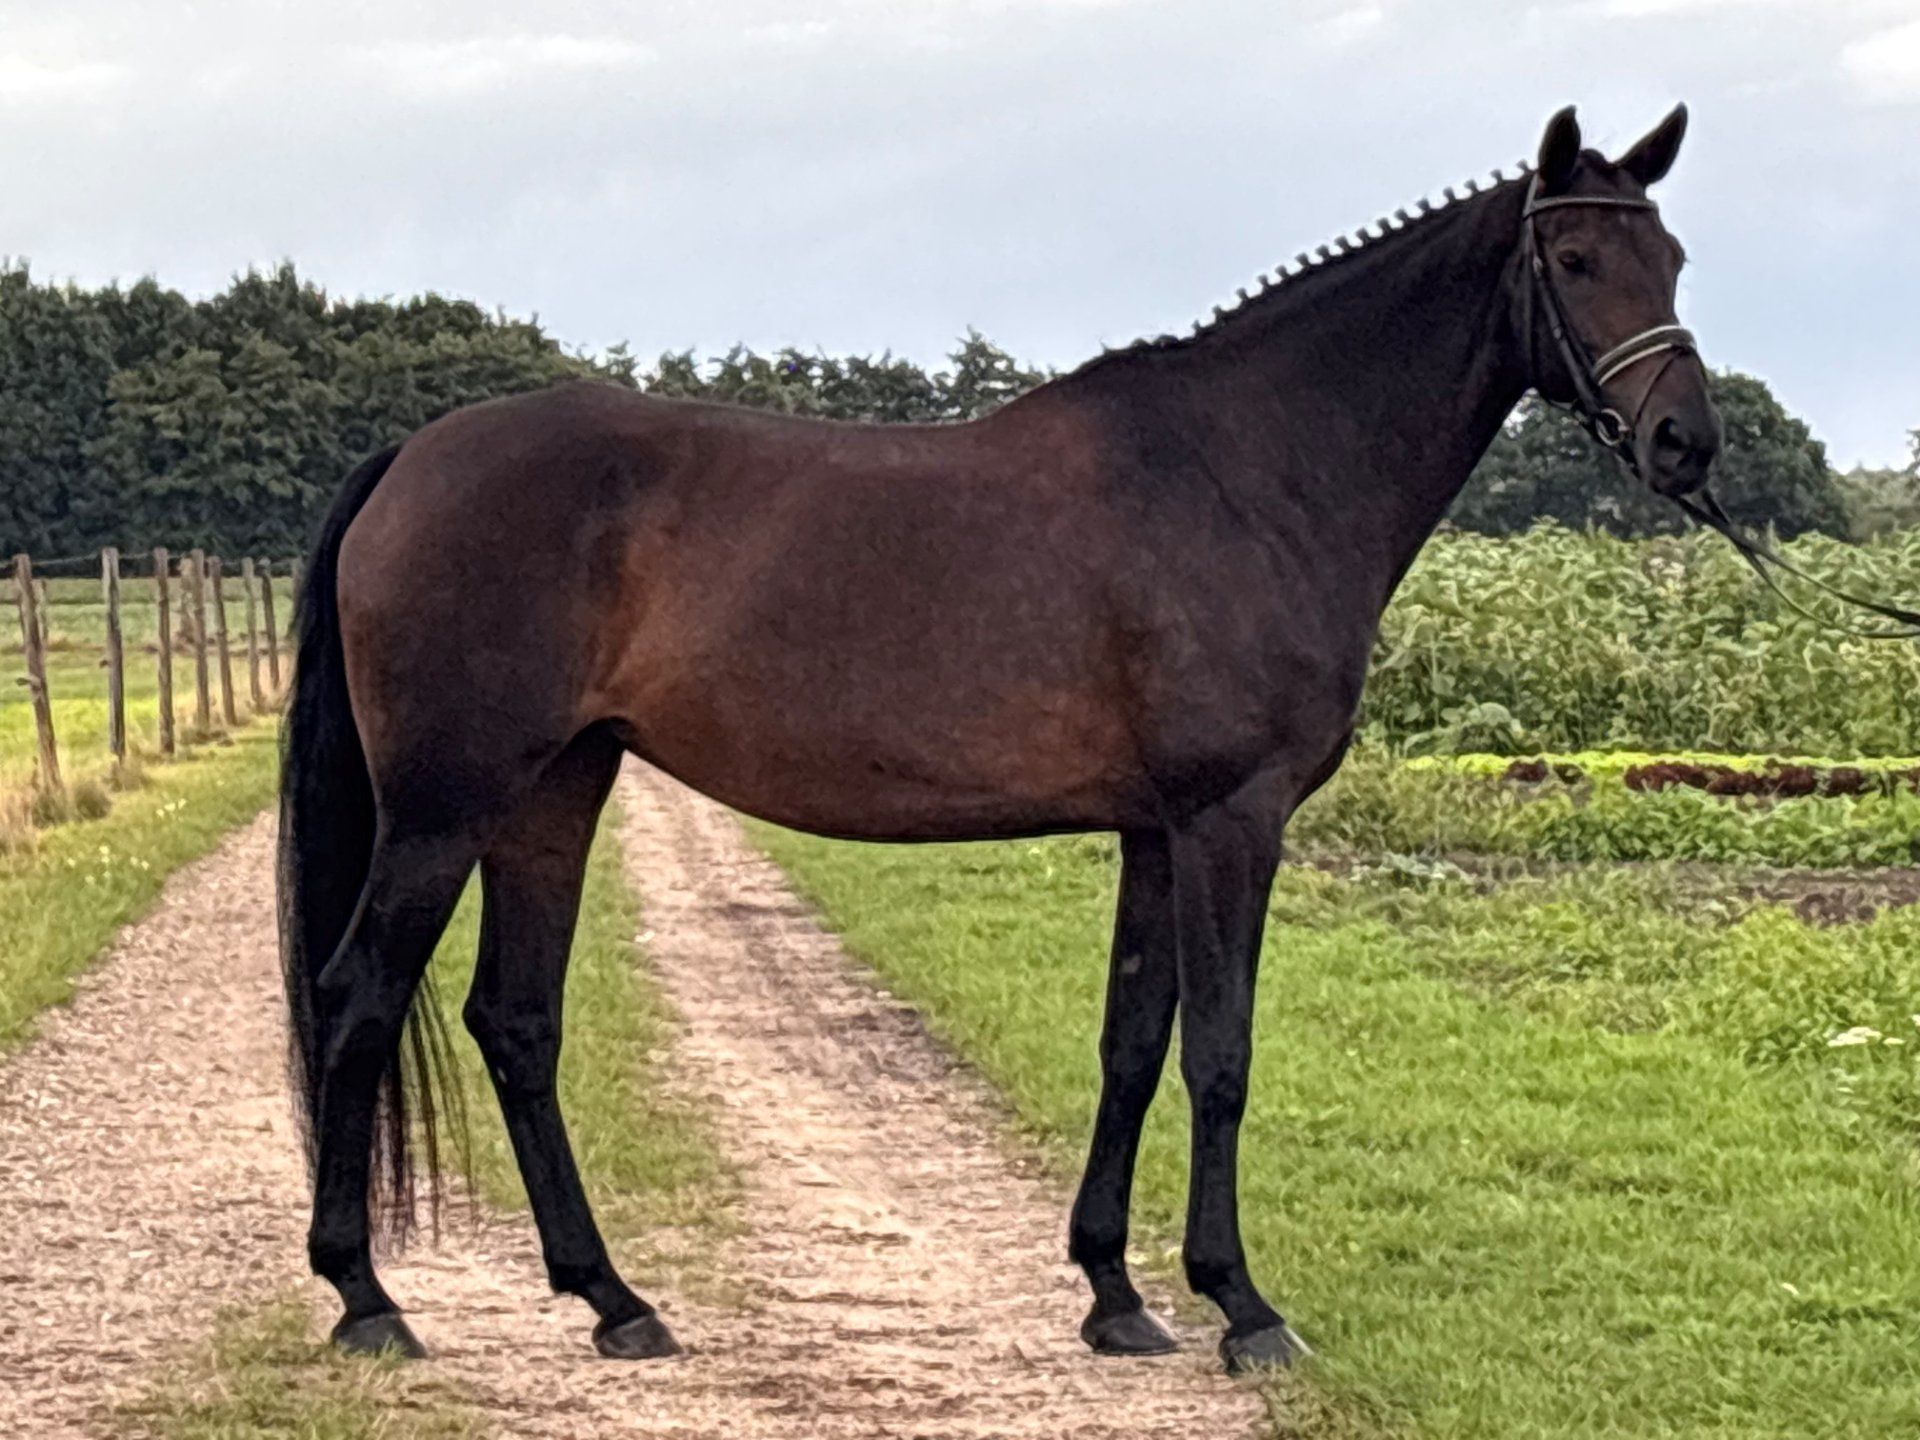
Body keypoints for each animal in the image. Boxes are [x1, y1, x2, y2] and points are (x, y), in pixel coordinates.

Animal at [279, 103, 1720, 1373]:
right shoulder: (1230, 821)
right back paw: (366, 1301)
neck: (1248, 472)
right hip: (444, 808)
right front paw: (1241, 1306)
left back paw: (614, 1301)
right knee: (358, 998)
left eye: (1675, 259)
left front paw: (1115, 1296)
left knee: (517, 1021)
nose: (1687, 444)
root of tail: (410, 457)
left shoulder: (1155, 832)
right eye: (1575, 261)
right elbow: (1222, 1055)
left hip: (554, 793)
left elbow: (1135, 1044)